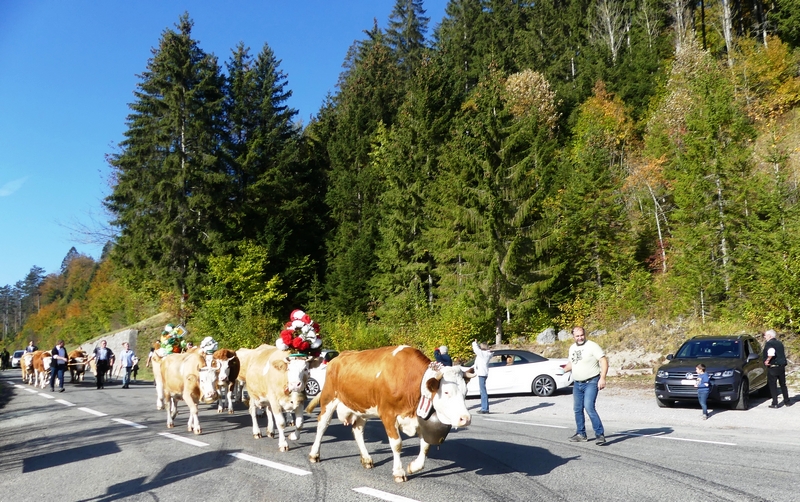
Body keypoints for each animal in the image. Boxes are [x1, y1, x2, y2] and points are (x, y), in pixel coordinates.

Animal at [306, 345, 473, 482]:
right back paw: (314, 454)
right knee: (322, 425)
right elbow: (397, 444)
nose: (465, 419)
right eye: (446, 392)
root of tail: (340, 356)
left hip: (361, 408)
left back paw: (366, 459)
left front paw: (413, 466)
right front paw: (399, 472)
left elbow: (426, 446)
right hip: (328, 399)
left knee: (358, 431)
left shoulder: (418, 418)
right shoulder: (388, 414)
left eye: (465, 392)